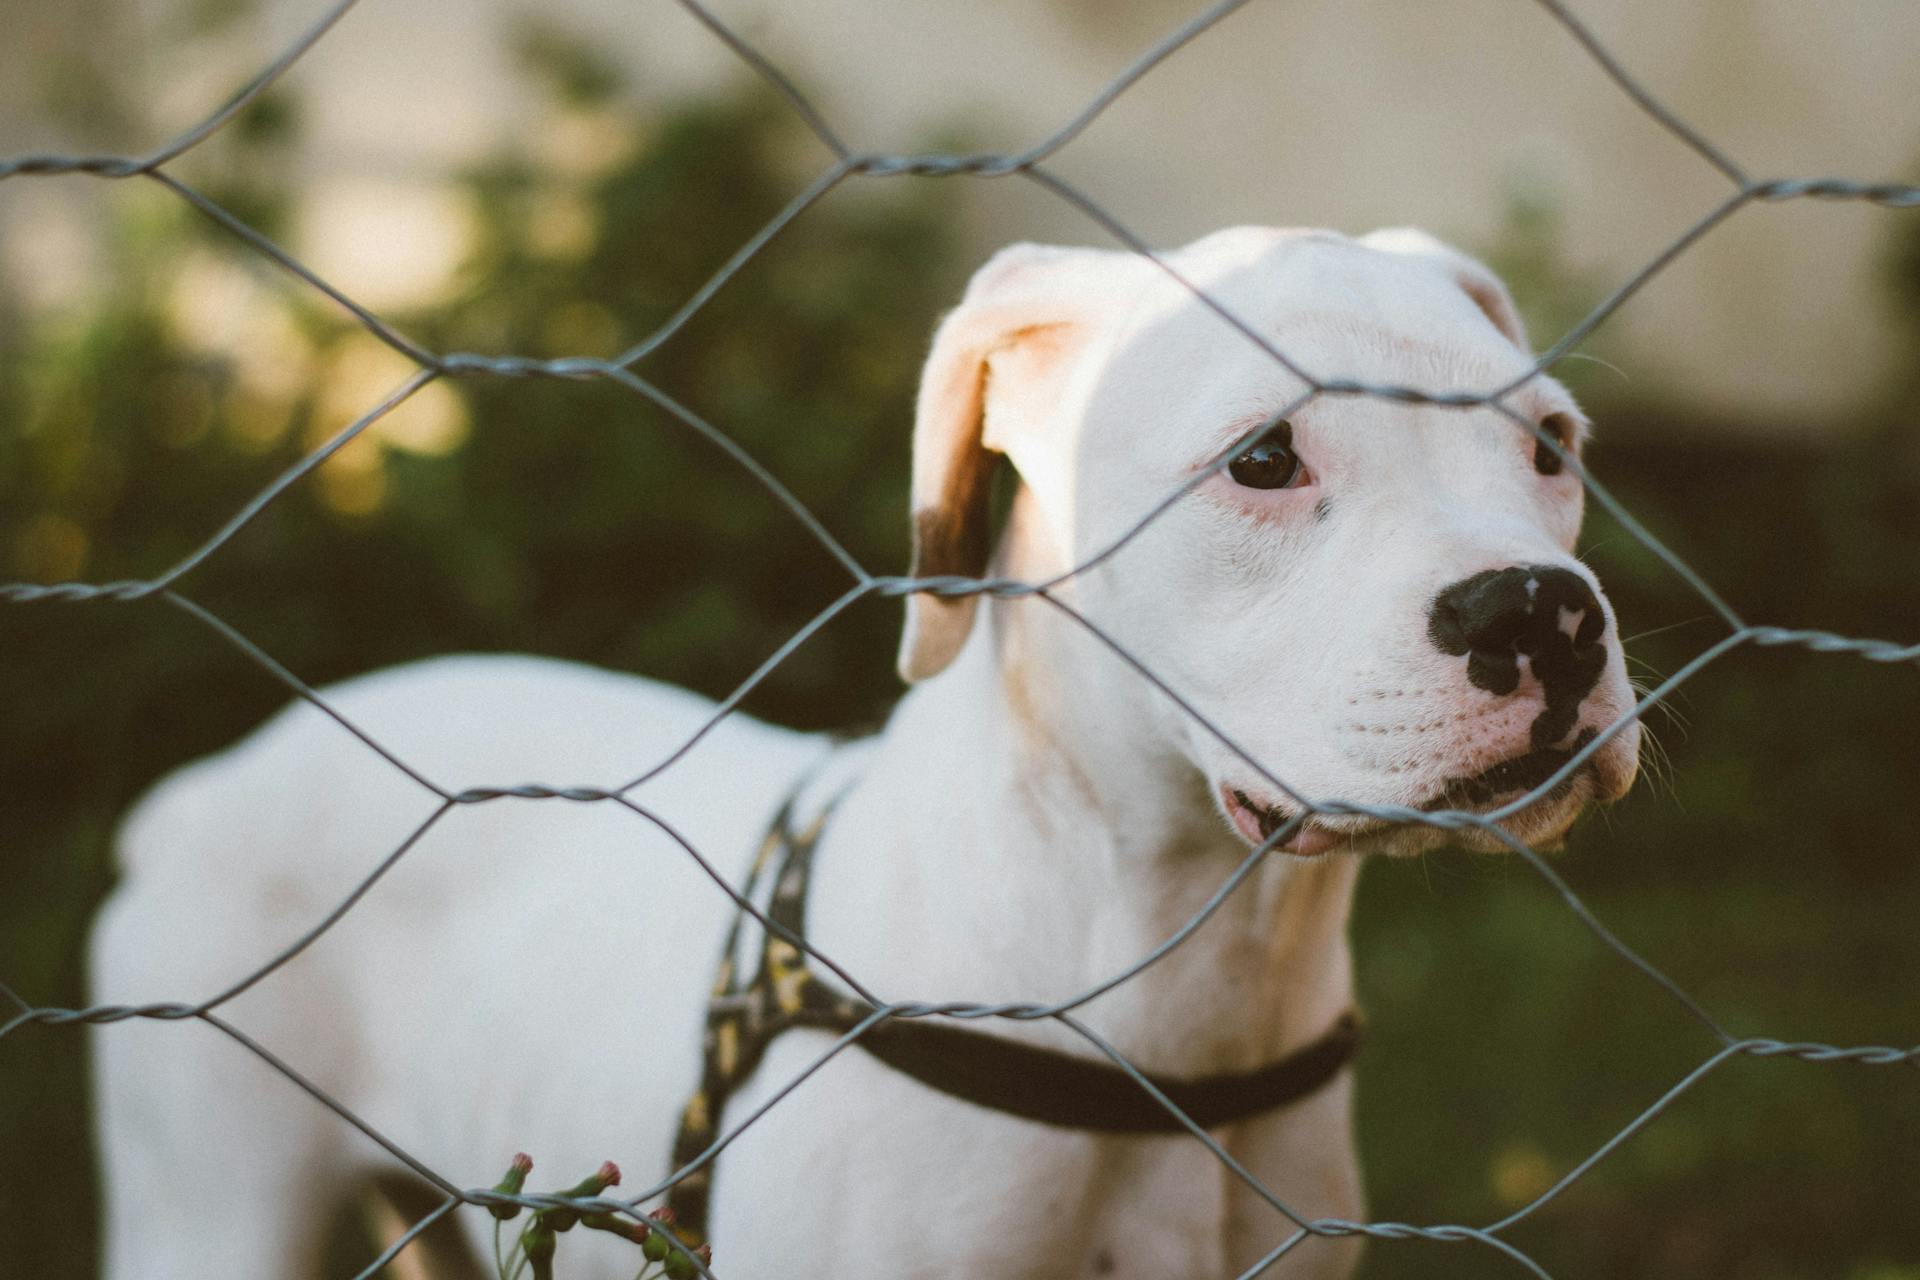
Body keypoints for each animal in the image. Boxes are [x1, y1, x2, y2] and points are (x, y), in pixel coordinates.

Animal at [90, 225, 1643, 1274]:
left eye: (1554, 447)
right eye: (1263, 458)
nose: (1544, 610)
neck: (1183, 981)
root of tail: (206, 784)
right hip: (208, 1211)